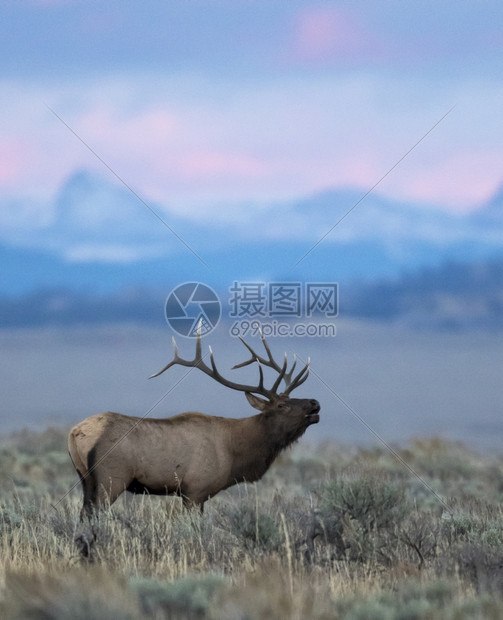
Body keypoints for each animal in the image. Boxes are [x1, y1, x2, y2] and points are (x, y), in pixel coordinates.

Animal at [69, 330, 320, 520]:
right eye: (281, 405)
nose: (314, 403)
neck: (235, 454)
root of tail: (75, 433)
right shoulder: (196, 490)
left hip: (85, 480)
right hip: (112, 479)